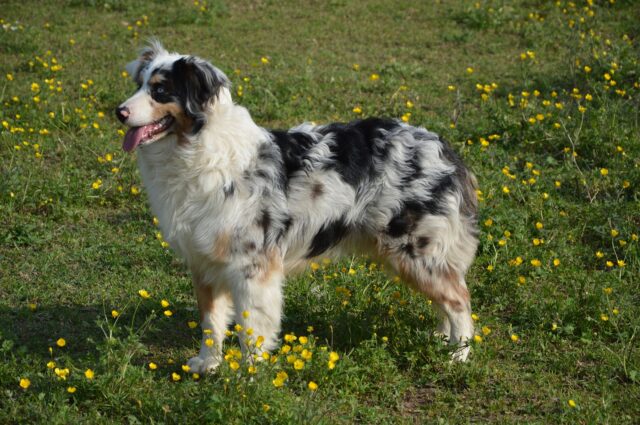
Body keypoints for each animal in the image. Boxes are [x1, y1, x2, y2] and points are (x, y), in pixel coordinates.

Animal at [115, 40, 478, 372]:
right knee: (447, 298)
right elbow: (211, 323)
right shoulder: (203, 262)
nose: (119, 112)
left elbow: (251, 329)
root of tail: (442, 146)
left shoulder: (252, 267)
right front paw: (208, 364)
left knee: (459, 298)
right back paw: (442, 338)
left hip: (416, 251)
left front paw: (247, 377)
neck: (198, 149)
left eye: (161, 90)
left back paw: (458, 354)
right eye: (139, 85)